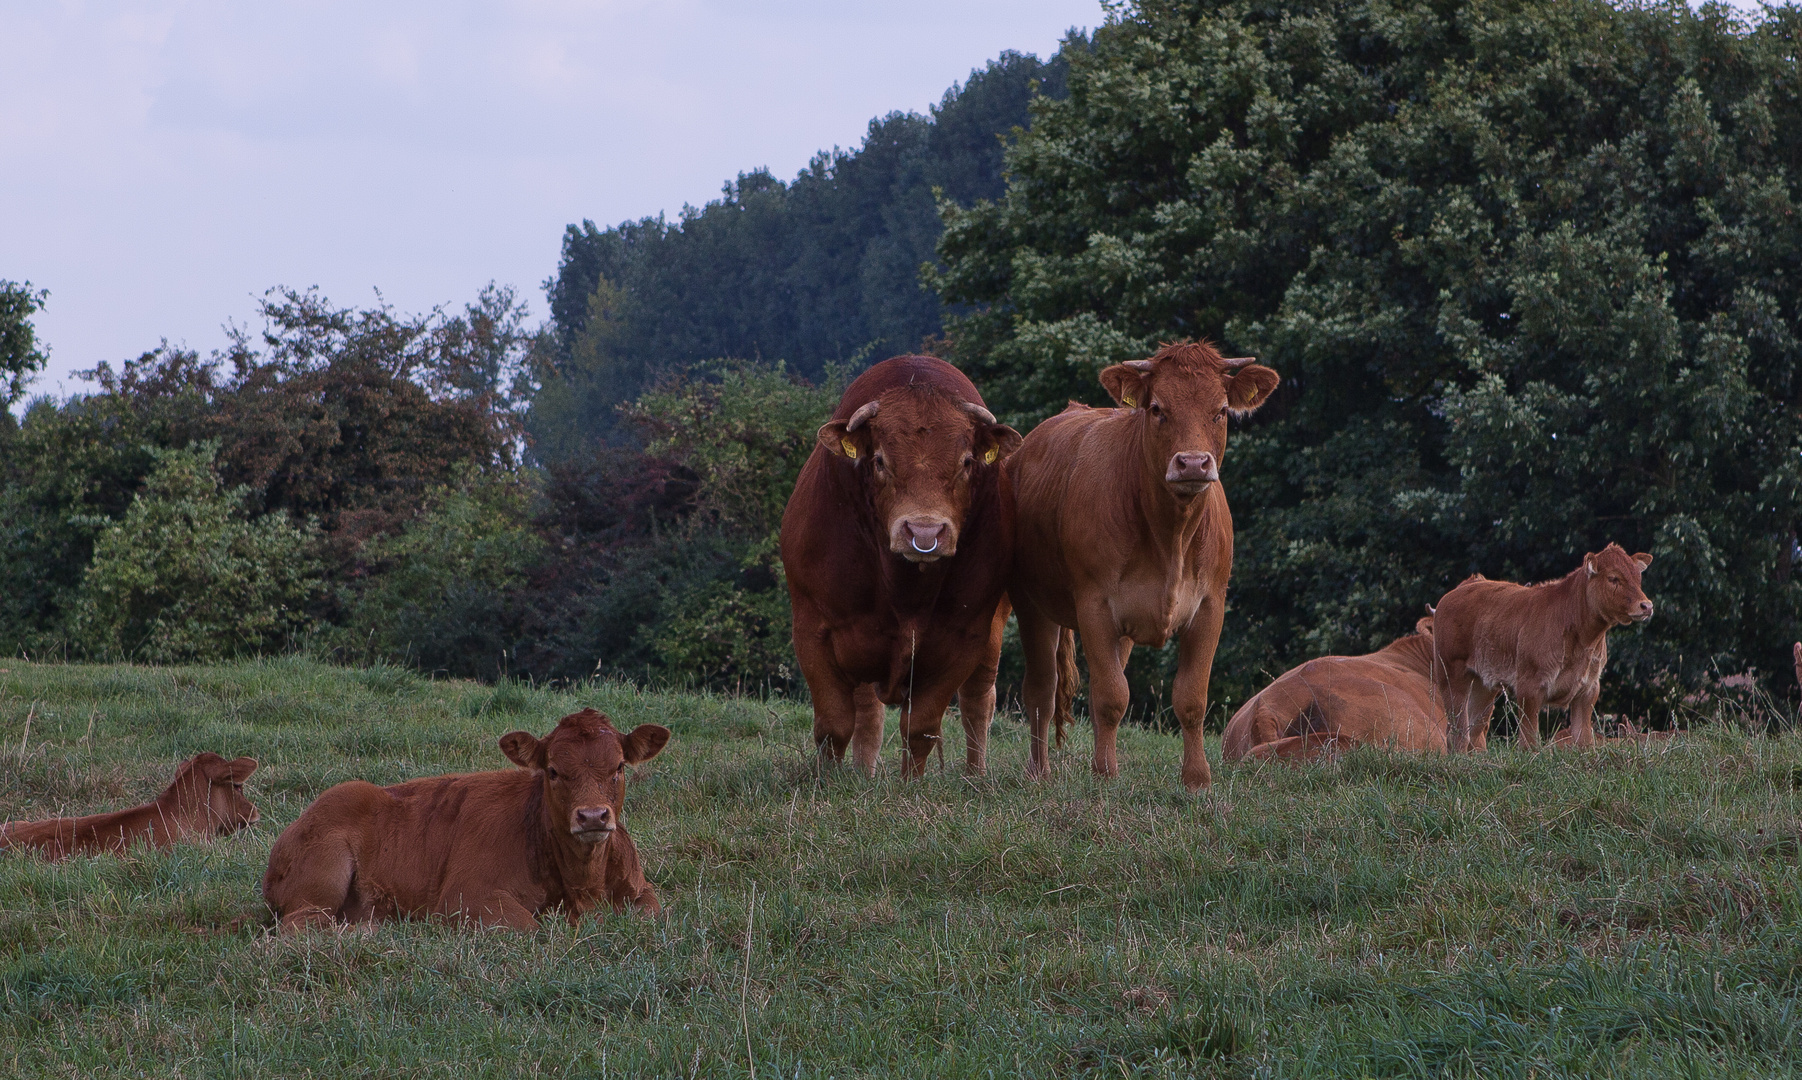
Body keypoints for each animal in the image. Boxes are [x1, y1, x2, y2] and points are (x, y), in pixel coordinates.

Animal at [261, 710, 670, 930]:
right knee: (301, 928)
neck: (584, 887)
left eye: (619, 767)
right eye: (553, 771)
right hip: (318, 886)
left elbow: (651, 913)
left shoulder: (642, 891)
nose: (592, 816)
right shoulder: (465, 896)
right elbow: (531, 927)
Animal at [778, 355, 1023, 778]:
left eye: (967, 462)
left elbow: (921, 727)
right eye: (879, 460)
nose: (924, 532)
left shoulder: (964, 636)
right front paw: (827, 783)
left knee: (978, 702)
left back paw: (976, 776)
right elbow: (834, 724)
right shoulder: (814, 630)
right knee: (867, 711)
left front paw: (912, 785)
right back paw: (862, 773)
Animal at [1427, 540, 1650, 753]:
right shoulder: (1529, 686)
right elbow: (1530, 742)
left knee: (1473, 731)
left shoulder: (1589, 688)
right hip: (1451, 675)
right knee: (1457, 733)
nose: (1646, 605)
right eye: (1613, 578)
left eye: (1638, 578)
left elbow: (1584, 741)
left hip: (1484, 685)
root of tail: (1453, 594)